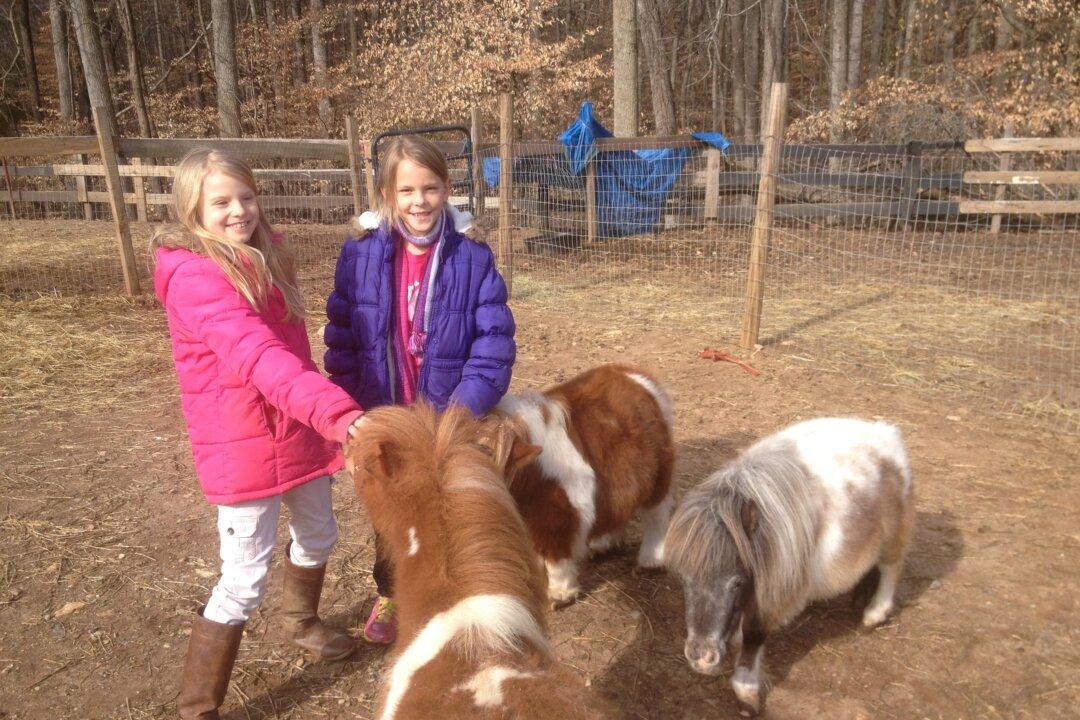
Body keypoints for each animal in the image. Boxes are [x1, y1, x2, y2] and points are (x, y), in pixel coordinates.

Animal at [494, 364, 676, 606]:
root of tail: (637, 377)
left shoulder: (560, 513)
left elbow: (557, 555)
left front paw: (560, 595)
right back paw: (604, 546)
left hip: (657, 481)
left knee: (656, 517)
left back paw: (650, 562)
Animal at [664, 417, 916, 716]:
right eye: (684, 580)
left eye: (736, 582)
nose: (701, 658)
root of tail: (888, 433)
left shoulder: (773, 595)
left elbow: (754, 635)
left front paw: (746, 694)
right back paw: (859, 600)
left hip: (893, 539)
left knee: (891, 570)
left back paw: (873, 615)